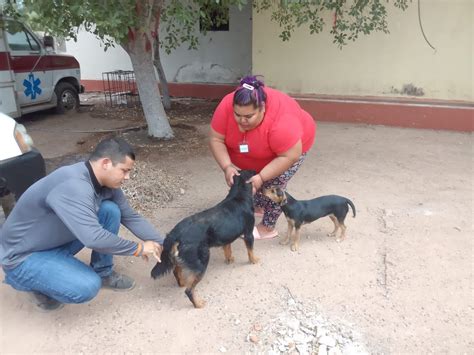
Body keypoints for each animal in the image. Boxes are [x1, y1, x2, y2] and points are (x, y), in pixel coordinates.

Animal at [151, 170, 260, 308]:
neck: (238, 196)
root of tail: (175, 233)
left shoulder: (226, 237)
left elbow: (227, 249)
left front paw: (230, 259)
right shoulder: (249, 234)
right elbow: (250, 251)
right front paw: (254, 260)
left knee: (177, 272)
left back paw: (182, 283)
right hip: (201, 261)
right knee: (189, 290)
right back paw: (198, 303)